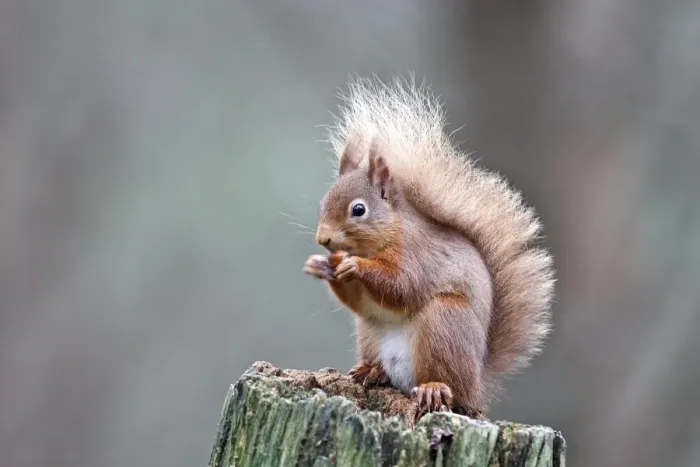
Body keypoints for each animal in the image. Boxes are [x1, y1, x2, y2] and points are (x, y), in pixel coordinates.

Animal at [303, 76, 555, 419]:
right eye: (323, 203)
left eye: (358, 209)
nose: (324, 240)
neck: (389, 233)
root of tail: (477, 386)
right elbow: (360, 301)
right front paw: (320, 265)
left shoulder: (418, 254)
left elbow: (403, 286)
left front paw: (356, 266)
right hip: (369, 332)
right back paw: (373, 370)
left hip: (444, 322)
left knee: (446, 383)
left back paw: (433, 388)